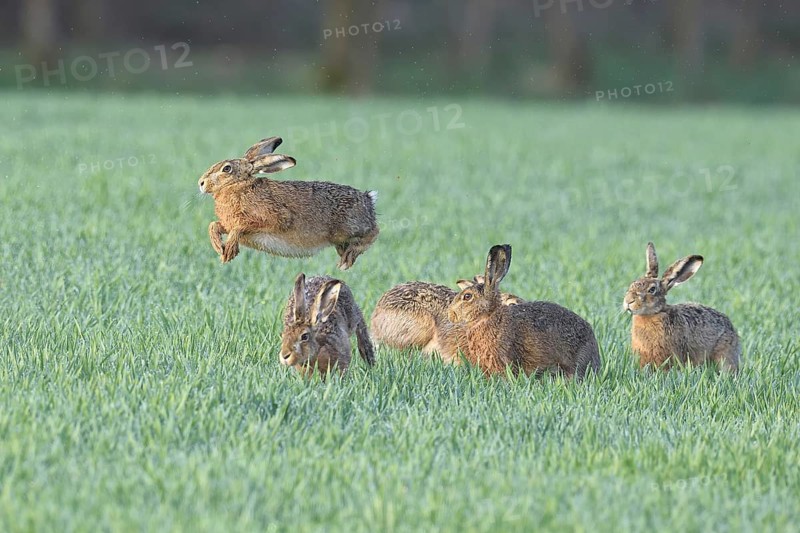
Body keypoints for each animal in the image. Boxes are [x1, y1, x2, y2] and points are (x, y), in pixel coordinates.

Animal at [199, 137, 379, 270]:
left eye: (226, 169)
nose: (201, 183)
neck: (239, 186)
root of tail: (367, 199)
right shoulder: (227, 224)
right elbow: (214, 225)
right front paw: (219, 248)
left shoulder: (274, 218)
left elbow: (241, 227)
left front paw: (229, 250)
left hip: (348, 228)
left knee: (374, 232)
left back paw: (347, 260)